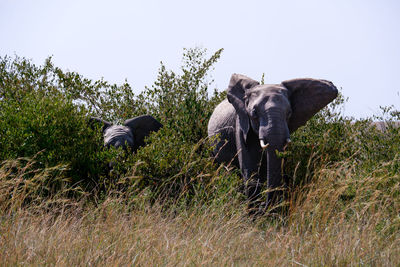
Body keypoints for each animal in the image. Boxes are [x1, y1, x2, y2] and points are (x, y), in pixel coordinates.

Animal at [209, 74, 338, 216]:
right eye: (254, 113)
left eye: (289, 113)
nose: (264, 208)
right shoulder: (241, 123)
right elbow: (249, 169)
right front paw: (253, 215)